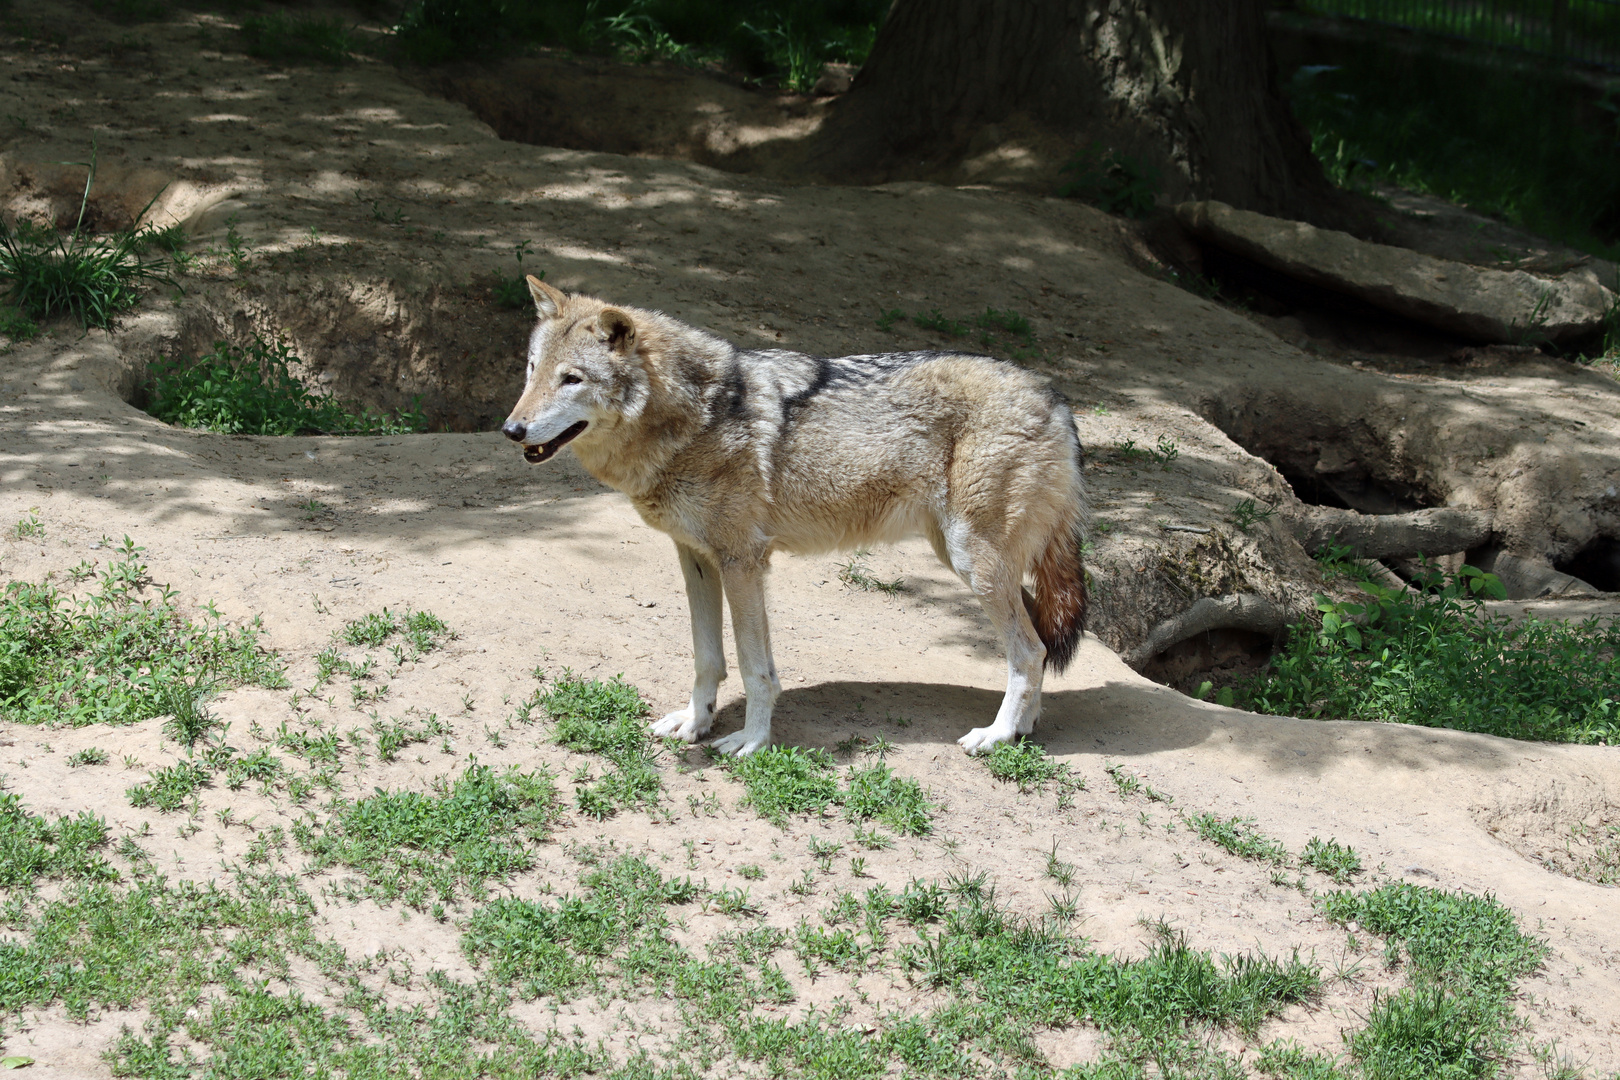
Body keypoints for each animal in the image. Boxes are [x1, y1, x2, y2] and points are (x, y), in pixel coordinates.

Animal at [505, 275, 1088, 757]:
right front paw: (696, 724)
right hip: (972, 562)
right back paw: (1024, 730)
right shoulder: (696, 559)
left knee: (1029, 651)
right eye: (533, 371)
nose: (511, 429)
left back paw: (997, 736)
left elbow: (754, 668)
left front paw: (751, 741)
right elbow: (707, 658)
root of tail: (1055, 396)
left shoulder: (743, 563)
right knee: (1037, 648)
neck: (696, 416)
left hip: (974, 563)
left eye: (572, 379)